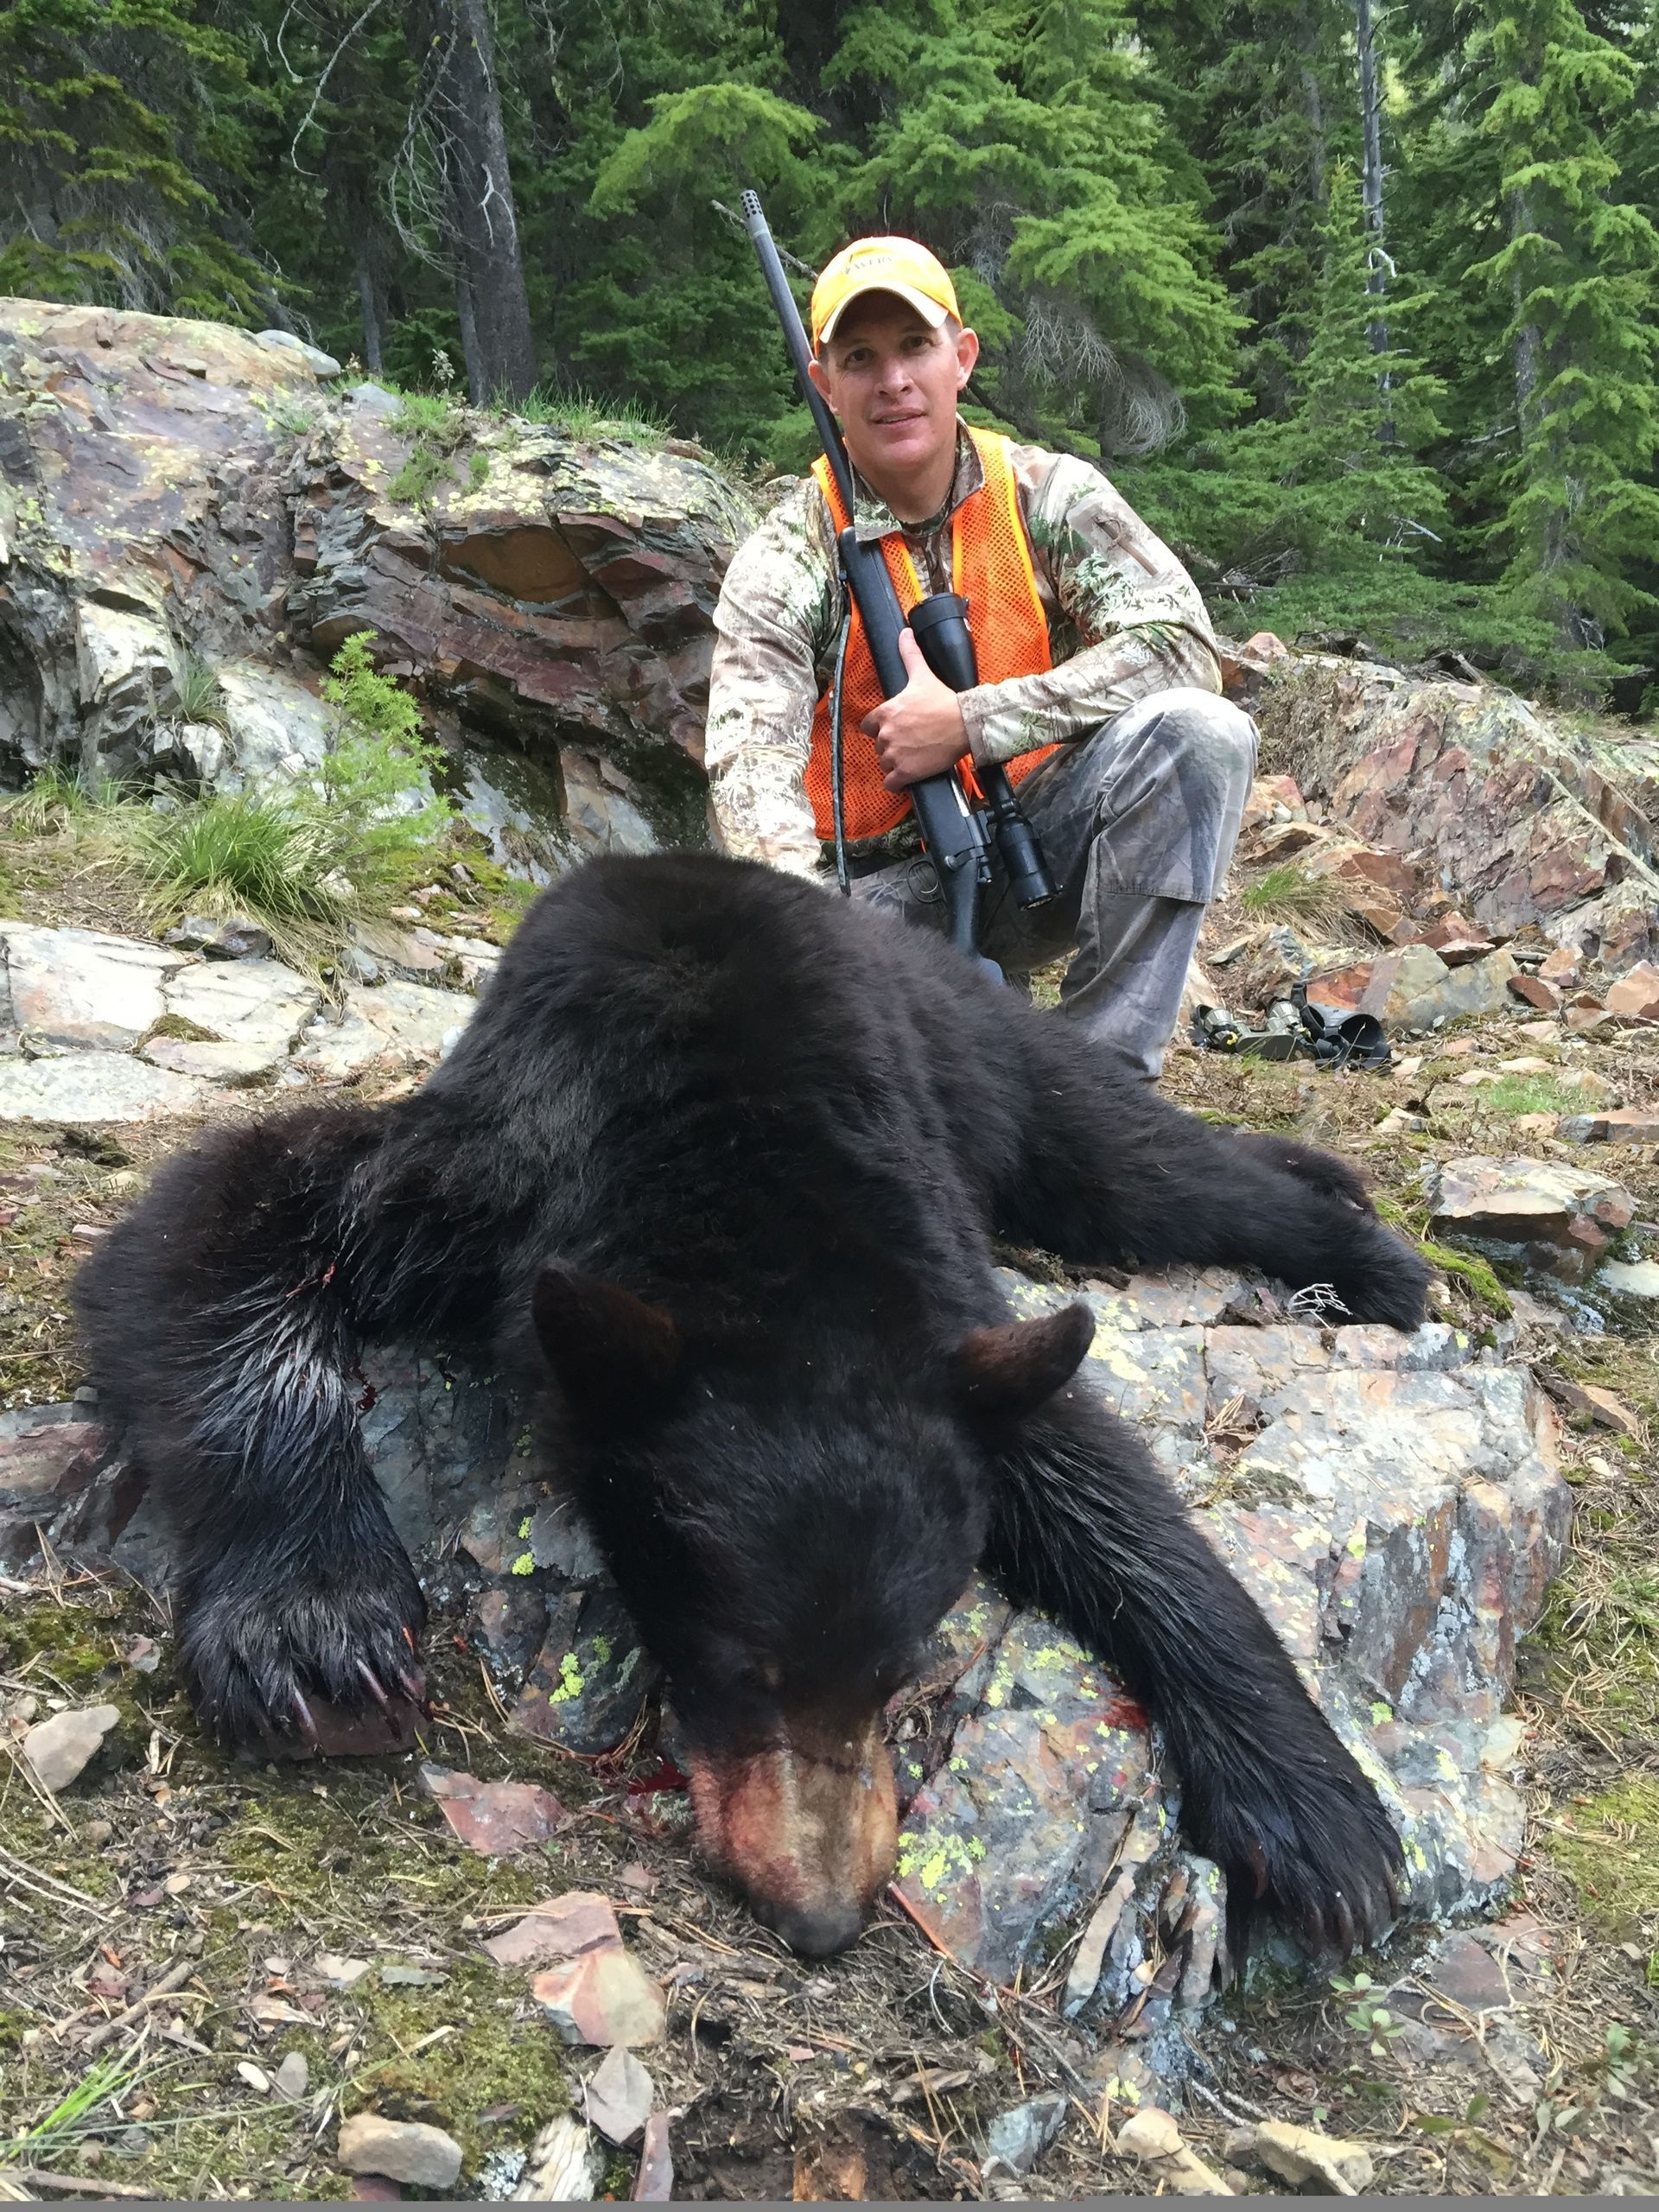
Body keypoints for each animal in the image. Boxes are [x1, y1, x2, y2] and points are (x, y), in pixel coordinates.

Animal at [76, 850, 1427, 1959]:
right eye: (739, 1662)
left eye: (903, 1666)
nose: (822, 1914)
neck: (753, 1181)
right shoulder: (489, 1172)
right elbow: (233, 1203)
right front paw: (313, 1625)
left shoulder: (936, 1299)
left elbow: (1103, 1482)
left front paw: (1314, 1813)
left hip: (992, 1060)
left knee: (1144, 1168)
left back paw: (1373, 1252)